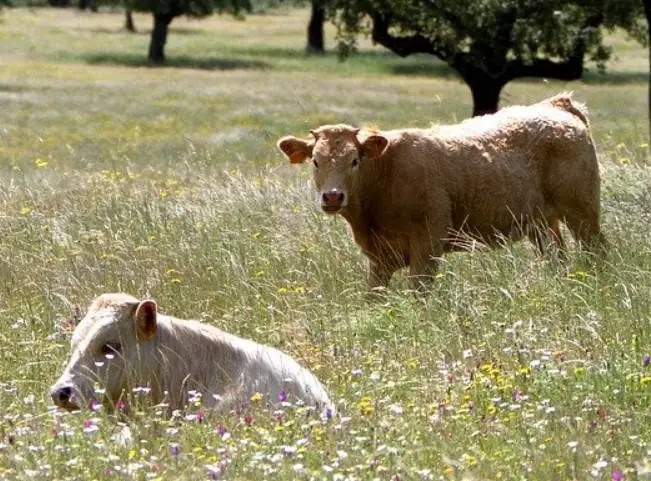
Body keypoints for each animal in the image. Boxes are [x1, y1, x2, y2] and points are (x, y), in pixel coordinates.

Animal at [277, 93, 606, 291]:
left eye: (354, 160)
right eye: (315, 161)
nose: (333, 196)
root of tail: (556, 105)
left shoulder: (427, 246)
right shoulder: (379, 259)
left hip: (582, 213)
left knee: (597, 251)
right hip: (541, 224)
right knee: (557, 258)